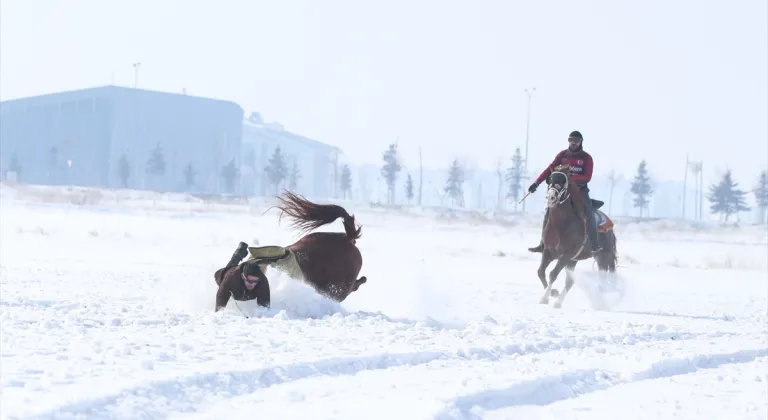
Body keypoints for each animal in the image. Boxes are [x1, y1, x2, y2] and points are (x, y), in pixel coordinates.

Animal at [536, 164, 620, 308]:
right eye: (550, 179)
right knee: (570, 282)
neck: (561, 225)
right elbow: (541, 272)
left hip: (602, 256)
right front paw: (552, 293)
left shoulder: (565, 255)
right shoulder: (548, 252)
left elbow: (553, 274)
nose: (551, 196)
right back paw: (558, 302)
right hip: (573, 261)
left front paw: (544, 297)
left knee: (602, 276)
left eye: (563, 181)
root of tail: (610, 229)